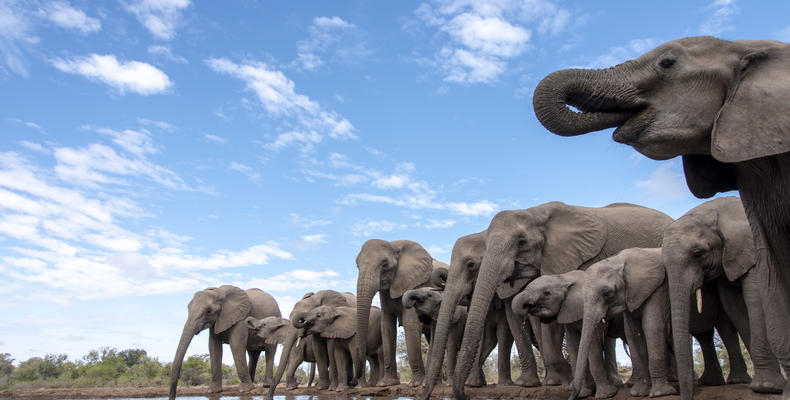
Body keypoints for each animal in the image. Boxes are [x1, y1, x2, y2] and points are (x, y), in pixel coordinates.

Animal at [355, 239, 445, 387]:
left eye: (385, 264)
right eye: (357, 265)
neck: (394, 245)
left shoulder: (416, 284)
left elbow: (410, 324)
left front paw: (415, 384)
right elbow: (387, 326)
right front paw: (386, 384)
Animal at [422, 231, 544, 400]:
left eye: (471, 265)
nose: (465, 396)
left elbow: (503, 333)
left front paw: (503, 385)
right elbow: (485, 337)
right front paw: (474, 384)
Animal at [513, 270, 625, 399]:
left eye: (547, 293)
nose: (528, 306)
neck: (565, 278)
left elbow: (592, 346)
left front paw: (605, 395)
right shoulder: (568, 312)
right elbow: (573, 344)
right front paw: (583, 394)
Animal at [662, 196, 785, 396]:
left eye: (697, 254)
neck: (713, 211)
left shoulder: (751, 248)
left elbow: (754, 298)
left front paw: (766, 387)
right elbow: (733, 305)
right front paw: (762, 384)